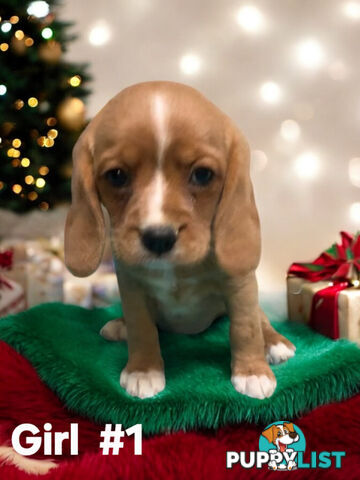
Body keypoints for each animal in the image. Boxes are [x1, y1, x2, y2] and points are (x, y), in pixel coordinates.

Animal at [64, 81, 296, 402]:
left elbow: (245, 328)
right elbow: (142, 329)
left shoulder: (241, 287)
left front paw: (252, 372)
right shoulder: (132, 287)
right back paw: (119, 326)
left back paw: (275, 343)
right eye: (117, 175)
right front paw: (143, 370)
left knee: (261, 319)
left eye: (202, 174)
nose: (159, 238)